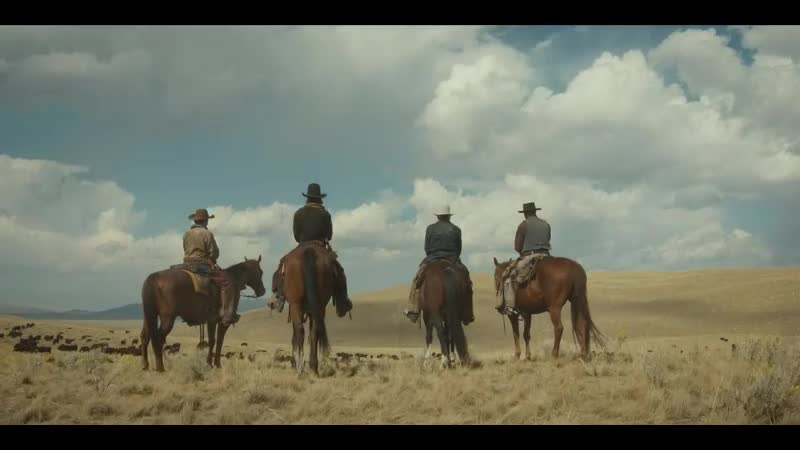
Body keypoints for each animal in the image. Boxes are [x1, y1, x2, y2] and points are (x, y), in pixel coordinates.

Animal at [283, 242, 336, 376]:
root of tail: (308, 251)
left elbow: (294, 336)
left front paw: (293, 362)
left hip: (295, 304)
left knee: (299, 330)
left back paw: (300, 366)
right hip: (320, 306)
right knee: (314, 331)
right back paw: (313, 367)